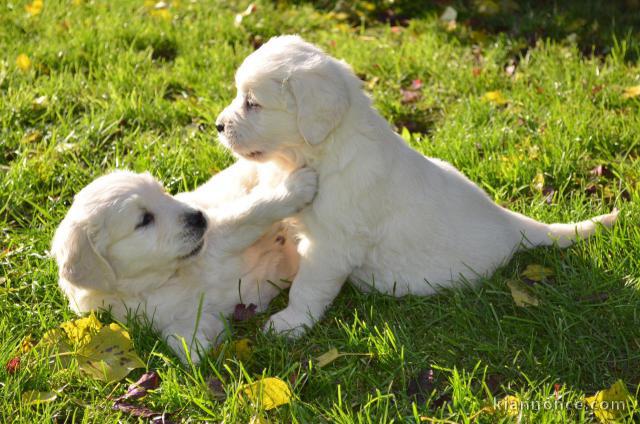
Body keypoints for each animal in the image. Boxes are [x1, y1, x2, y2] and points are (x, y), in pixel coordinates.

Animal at [51, 166, 316, 362]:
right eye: (144, 220)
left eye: (163, 193)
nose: (199, 217)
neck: (168, 278)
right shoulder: (184, 316)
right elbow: (178, 338)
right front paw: (195, 350)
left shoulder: (222, 231)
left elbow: (250, 212)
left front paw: (297, 187)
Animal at [216, 34, 620, 336]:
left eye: (253, 103)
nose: (218, 126)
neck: (322, 152)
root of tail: (511, 222)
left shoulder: (332, 245)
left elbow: (308, 288)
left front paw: (289, 324)